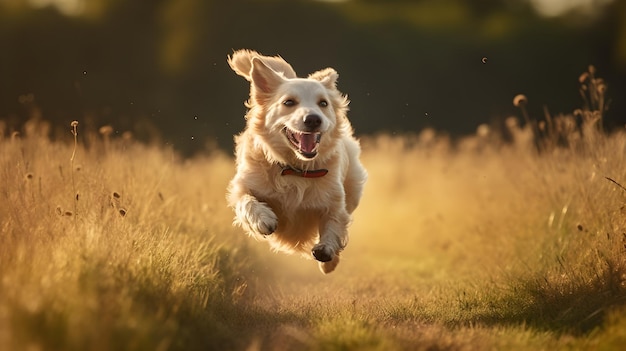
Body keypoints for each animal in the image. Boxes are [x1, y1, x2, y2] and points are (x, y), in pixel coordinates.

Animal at [225, 50, 366, 276]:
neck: (295, 169)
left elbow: (335, 223)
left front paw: (327, 253)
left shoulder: (334, 200)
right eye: (289, 102)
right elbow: (246, 200)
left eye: (323, 103)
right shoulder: (243, 185)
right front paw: (263, 218)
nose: (313, 119)